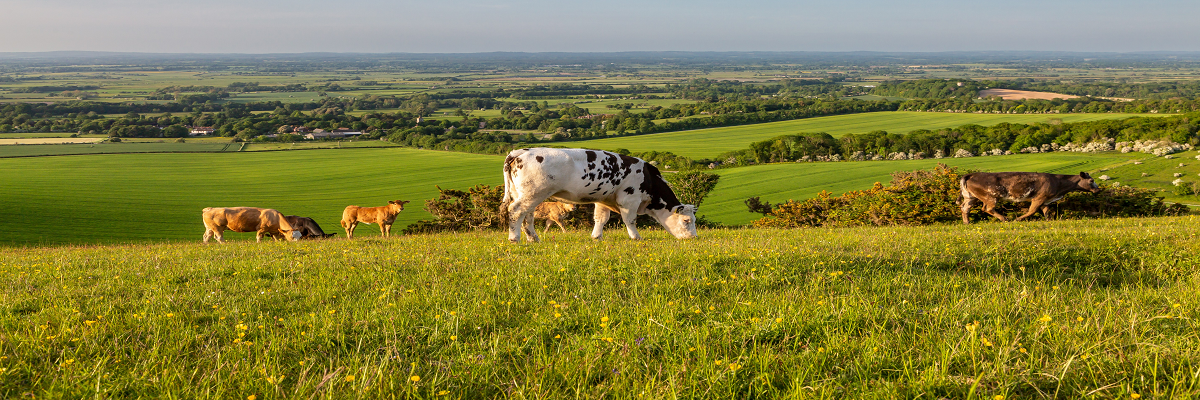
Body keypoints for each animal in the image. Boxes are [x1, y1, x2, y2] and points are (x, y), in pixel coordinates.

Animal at [499, 146, 700, 240]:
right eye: (686, 221)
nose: (693, 237)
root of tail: (520, 152)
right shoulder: (629, 198)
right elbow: (630, 220)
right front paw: (636, 237)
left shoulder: (604, 199)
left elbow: (601, 218)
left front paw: (596, 237)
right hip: (533, 193)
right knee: (516, 211)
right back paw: (514, 238)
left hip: (526, 194)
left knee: (527, 215)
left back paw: (533, 238)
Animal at [960, 169, 1099, 222]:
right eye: (1091, 180)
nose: (1098, 190)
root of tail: (972, 174)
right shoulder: (1039, 197)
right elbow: (1032, 210)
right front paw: (1018, 219)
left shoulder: (1045, 199)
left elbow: (1046, 211)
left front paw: (1049, 220)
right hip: (991, 197)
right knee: (988, 208)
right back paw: (1005, 219)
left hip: (970, 197)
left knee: (965, 208)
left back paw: (967, 222)